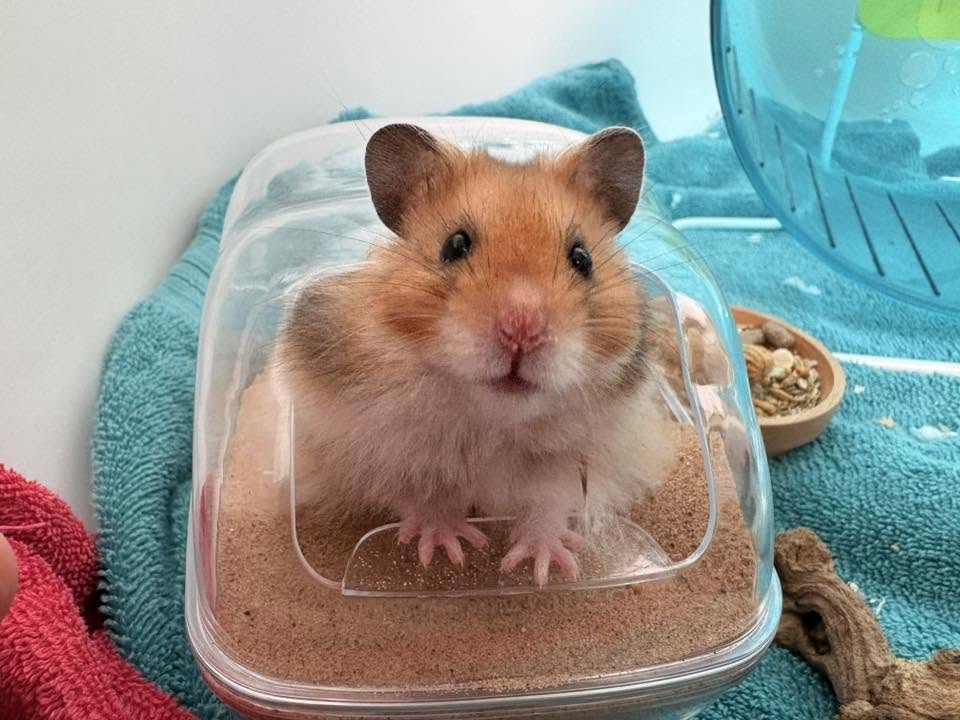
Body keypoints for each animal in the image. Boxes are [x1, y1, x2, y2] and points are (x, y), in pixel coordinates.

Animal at [272, 123, 676, 586]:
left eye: (582, 258)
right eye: (455, 245)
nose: (522, 330)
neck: (491, 421)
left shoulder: (582, 459)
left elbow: (549, 503)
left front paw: (542, 566)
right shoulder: (372, 450)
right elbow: (423, 497)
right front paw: (449, 551)